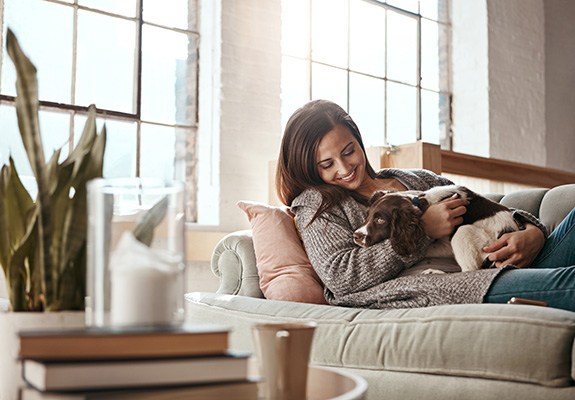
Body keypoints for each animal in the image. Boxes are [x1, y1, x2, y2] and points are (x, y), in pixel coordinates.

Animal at [356, 184, 520, 272]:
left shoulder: (448, 242)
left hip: (464, 232)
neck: (423, 203)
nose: (356, 236)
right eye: (367, 215)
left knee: (469, 270)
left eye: (380, 220)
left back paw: (434, 272)